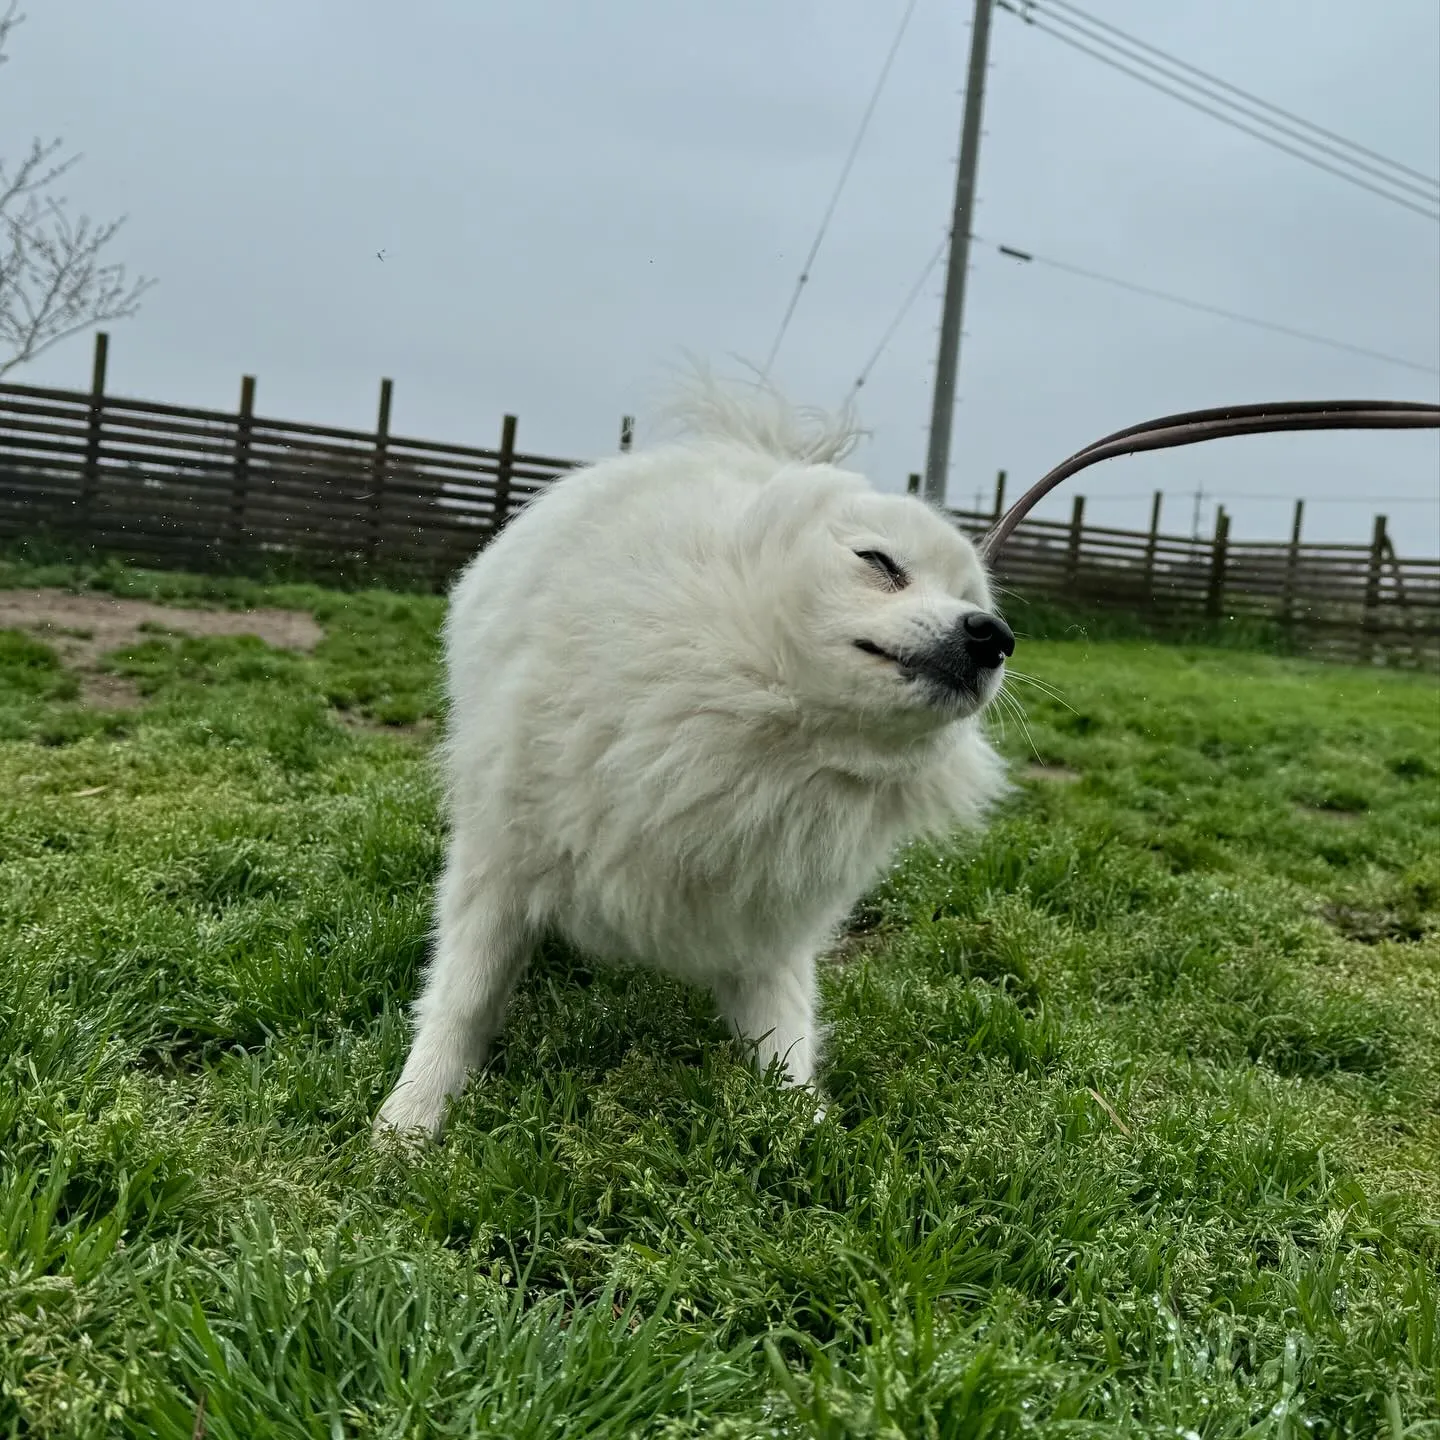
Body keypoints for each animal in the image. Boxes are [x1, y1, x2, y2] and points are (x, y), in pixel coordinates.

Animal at [371, 383, 1013, 1146]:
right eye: (880, 563)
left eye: (975, 602)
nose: (994, 635)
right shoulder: (501, 861)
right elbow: (464, 994)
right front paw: (412, 1117)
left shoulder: (768, 917)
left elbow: (785, 1034)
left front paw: (809, 1131)